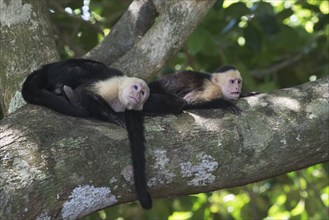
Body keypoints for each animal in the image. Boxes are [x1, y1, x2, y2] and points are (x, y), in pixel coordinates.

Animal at [21, 58, 152, 210]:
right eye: (136, 88)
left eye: (142, 93)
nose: (137, 95)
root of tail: (45, 67)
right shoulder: (112, 86)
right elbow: (84, 92)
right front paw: (114, 117)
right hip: (56, 71)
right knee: (87, 69)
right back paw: (62, 90)